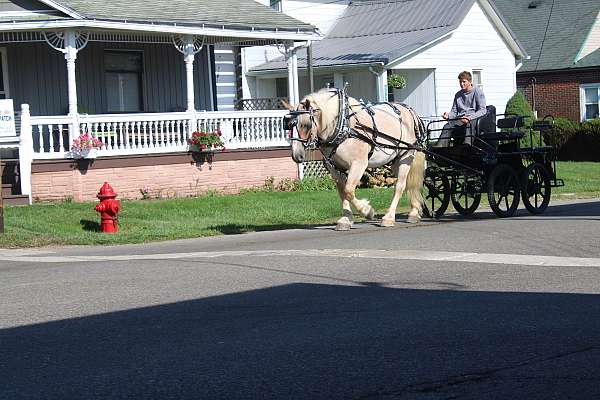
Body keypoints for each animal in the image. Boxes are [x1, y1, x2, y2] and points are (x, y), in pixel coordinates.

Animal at [286, 88, 426, 230]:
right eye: (288, 125)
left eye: (305, 125)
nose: (297, 155)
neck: (343, 126)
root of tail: (411, 112)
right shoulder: (335, 167)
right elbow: (342, 191)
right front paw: (345, 219)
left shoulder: (359, 164)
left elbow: (348, 190)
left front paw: (367, 211)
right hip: (395, 160)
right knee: (409, 184)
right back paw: (414, 212)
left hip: (406, 157)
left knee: (400, 186)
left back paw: (389, 217)